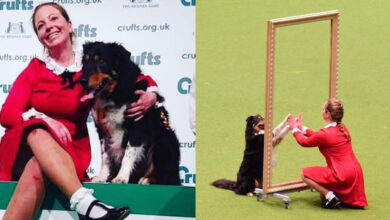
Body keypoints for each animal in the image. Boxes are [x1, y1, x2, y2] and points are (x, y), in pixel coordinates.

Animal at [79, 40, 183, 185]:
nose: (82, 81)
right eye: (85, 61)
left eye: (102, 61)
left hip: (164, 141)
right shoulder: (101, 129)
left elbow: (128, 153)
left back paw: (147, 179)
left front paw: (121, 177)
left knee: (168, 178)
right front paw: (101, 177)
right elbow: (104, 155)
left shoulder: (137, 124)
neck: (114, 92)